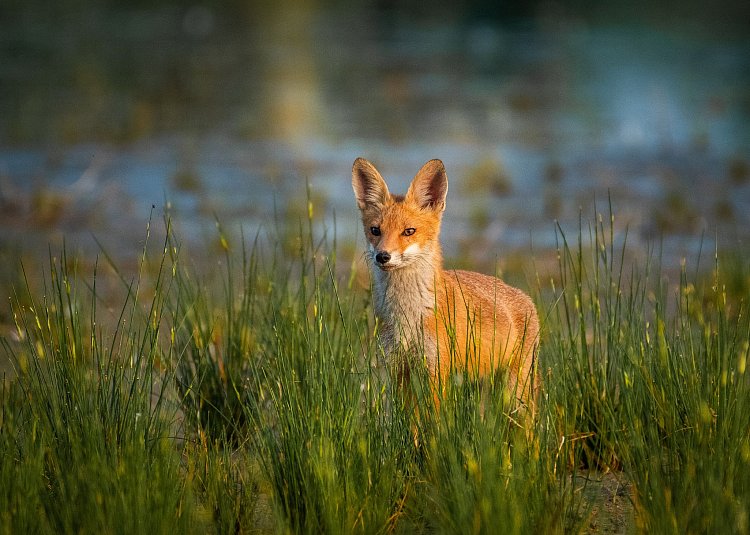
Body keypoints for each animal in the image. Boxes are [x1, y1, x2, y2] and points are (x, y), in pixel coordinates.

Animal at [352, 157, 540, 416]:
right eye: (375, 230)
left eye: (409, 231)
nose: (383, 256)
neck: (408, 316)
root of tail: (524, 296)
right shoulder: (398, 369)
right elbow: (408, 421)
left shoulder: (435, 370)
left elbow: (433, 420)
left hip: (516, 393)